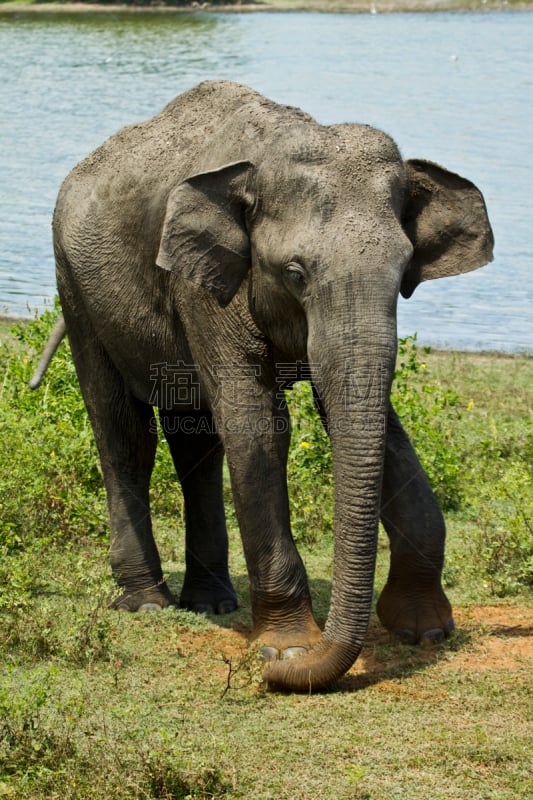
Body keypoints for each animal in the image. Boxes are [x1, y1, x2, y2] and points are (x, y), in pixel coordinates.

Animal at [31, 83, 492, 692]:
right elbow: (259, 427)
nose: (268, 675)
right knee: (123, 434)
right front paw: (290, 649)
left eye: (402, 273)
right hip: (74, 284)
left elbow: (368, 419)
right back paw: (147, 603)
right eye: (295, 273)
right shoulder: (202, 283)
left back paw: (212, 604)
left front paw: (426, 630)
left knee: (194, 441)